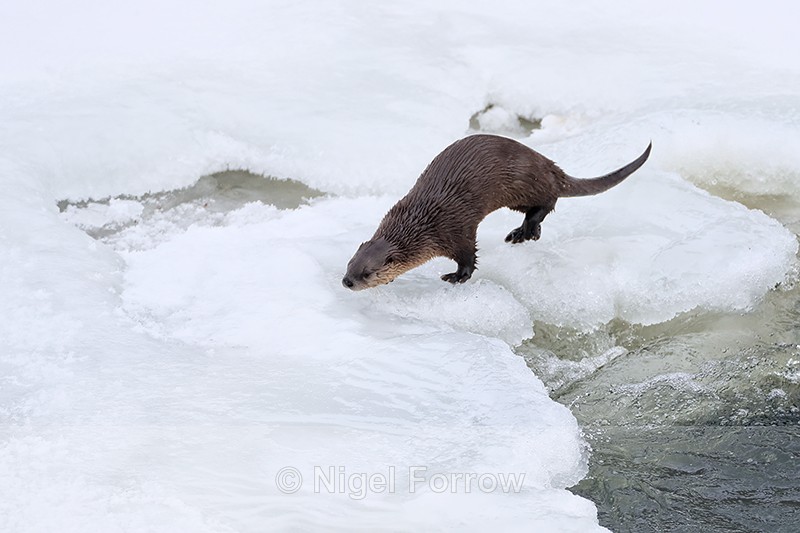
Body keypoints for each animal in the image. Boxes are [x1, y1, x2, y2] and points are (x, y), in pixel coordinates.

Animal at [343, 134, 651, 290]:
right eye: (349, 264)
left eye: (367, 273)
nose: (346, 282)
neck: (422, 225)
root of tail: (551, 167)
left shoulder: (456, 230)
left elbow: (468, 256)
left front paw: (457, 277)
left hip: (523, 185)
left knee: (547, 203)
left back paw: (525, 232)